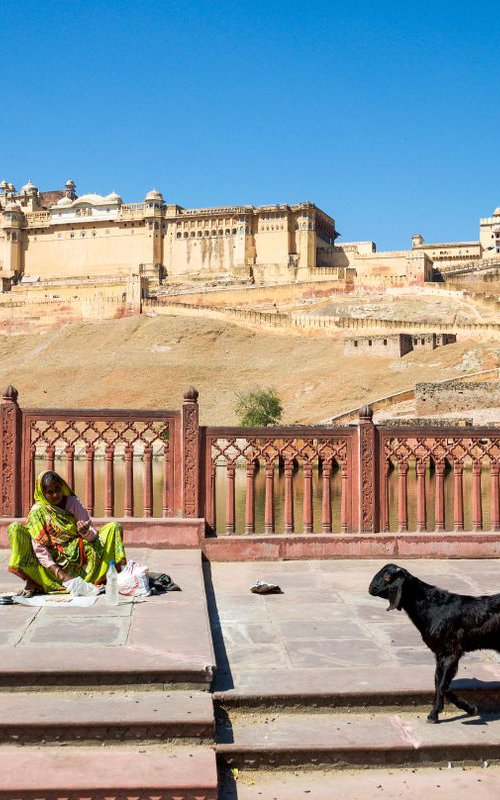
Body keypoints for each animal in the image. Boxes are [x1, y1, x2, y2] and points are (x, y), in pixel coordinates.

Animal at [368, 564, 500, 724]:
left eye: (388, 577)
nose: (371, 588)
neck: (433, 606)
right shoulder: (439, 653)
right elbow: (438, 681)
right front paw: (470, 708)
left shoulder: (450, 651)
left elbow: (442, 683)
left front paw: (434, 714)